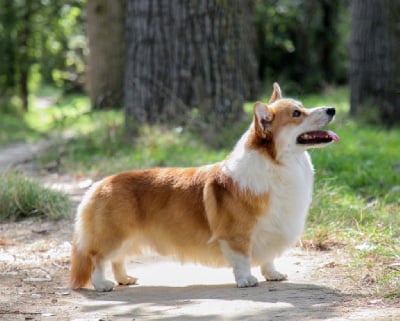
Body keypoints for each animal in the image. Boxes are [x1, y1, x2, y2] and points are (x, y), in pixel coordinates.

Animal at [69, 83, 338, 290]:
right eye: (296, 114)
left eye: (302, 108)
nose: (332, 109)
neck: (278, 164)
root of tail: (98, 185)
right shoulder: (237, 235)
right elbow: (243, 259)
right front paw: (246, 280)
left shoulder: (272, 230)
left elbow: (268, 258)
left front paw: (273, 275)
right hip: (115, 236)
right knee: (98, 259)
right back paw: (103, 285)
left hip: (127, 238)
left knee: (118, 260)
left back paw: (125, 279)